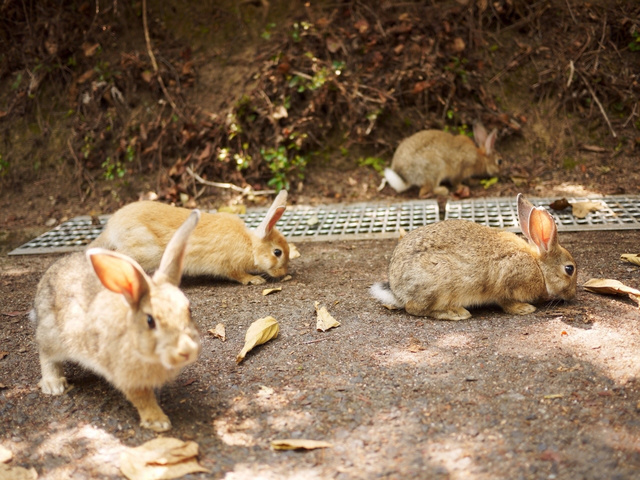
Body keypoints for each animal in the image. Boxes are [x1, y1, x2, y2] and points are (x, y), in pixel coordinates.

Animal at [32, 210, 201, 432]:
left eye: (189, 309)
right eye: (150, 321)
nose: (187, 350)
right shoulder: (127, 377)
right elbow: (142, 399)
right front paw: (158, 421)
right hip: (52, 335)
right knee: (47, 356)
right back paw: (54, 385)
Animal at [92, 188, 292, 284]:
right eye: (277, 252)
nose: (283, 273)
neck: (250, 245)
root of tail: (111, 228)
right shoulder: (226, 264)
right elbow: (237, 274)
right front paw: (254, 280)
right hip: (143, 250)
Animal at [368, 193, 576, 320]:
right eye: (569, 269)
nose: (573, 295)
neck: (539, 267)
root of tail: (397, 291)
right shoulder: (506, 281)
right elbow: (506, 301)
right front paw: (524, 309)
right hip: (438, 285)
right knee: (414, 308)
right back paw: (456, 313)